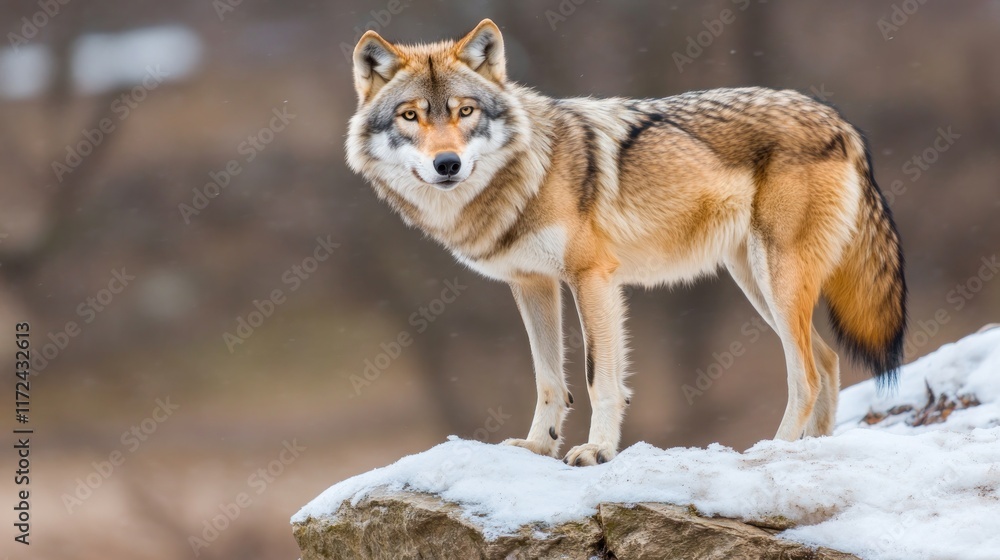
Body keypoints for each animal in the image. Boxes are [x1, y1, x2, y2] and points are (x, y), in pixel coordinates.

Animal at [346, 19, 906, 466]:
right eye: (411, 116)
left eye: (464, 112)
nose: (448, 164)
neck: (530, 173)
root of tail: (839, 120)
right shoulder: (532, 285)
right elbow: (548, 378)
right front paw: (538, 447)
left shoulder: (592, 277)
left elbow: (600, 378)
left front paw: (596, 450)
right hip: (757, 284)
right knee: (827, 361)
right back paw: (811, 450)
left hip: (777, 280)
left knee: (806, 374)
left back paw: (770, 451)